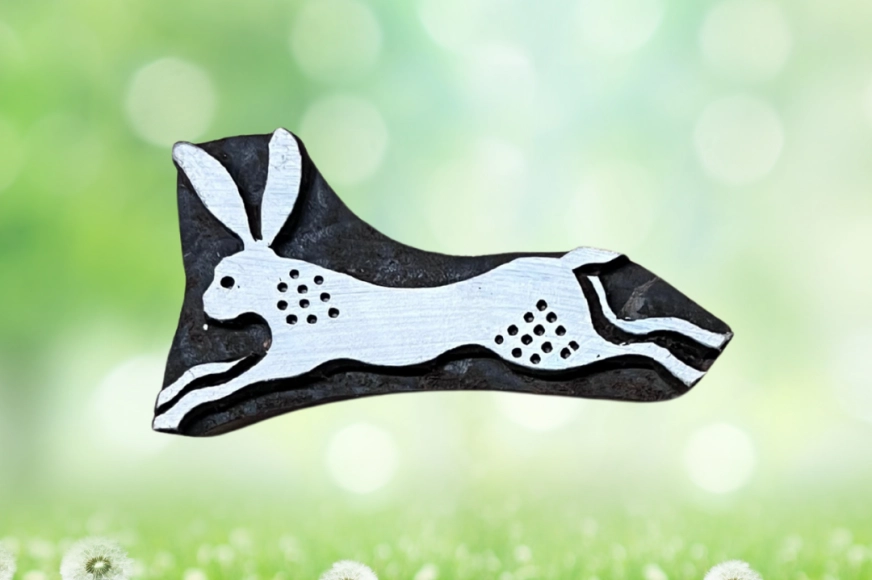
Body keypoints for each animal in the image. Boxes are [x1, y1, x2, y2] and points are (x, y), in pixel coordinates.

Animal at [153, 129, 730, 433]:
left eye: (227, 280)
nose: (207, 310)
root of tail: (567, 264)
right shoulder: (273, 356)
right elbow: (208, 373)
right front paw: (168, 401)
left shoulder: (292, 362)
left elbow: (226, 385)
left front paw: (177, 412)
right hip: (579, 328)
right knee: (645, 330)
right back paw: (707, 343)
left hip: (548, 348)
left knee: (639, 349)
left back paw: (686, 367)